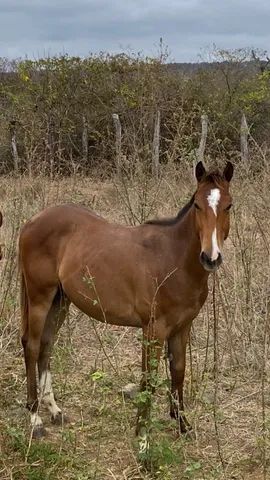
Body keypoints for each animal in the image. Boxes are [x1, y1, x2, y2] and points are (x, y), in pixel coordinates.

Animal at [20, 161, 233, 438]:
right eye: (197, 204)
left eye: (229, 205)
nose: (211, 257)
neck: (173, 259)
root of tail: (32, 221)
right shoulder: (153, 329)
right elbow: (148, 378)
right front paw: (141, 433)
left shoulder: (182, 327)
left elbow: (178, 372)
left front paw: (182, 424)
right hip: (39, 298)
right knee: (32, 346)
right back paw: (35, 419)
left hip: (60, 300)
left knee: (46, 345)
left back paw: (54, 410)